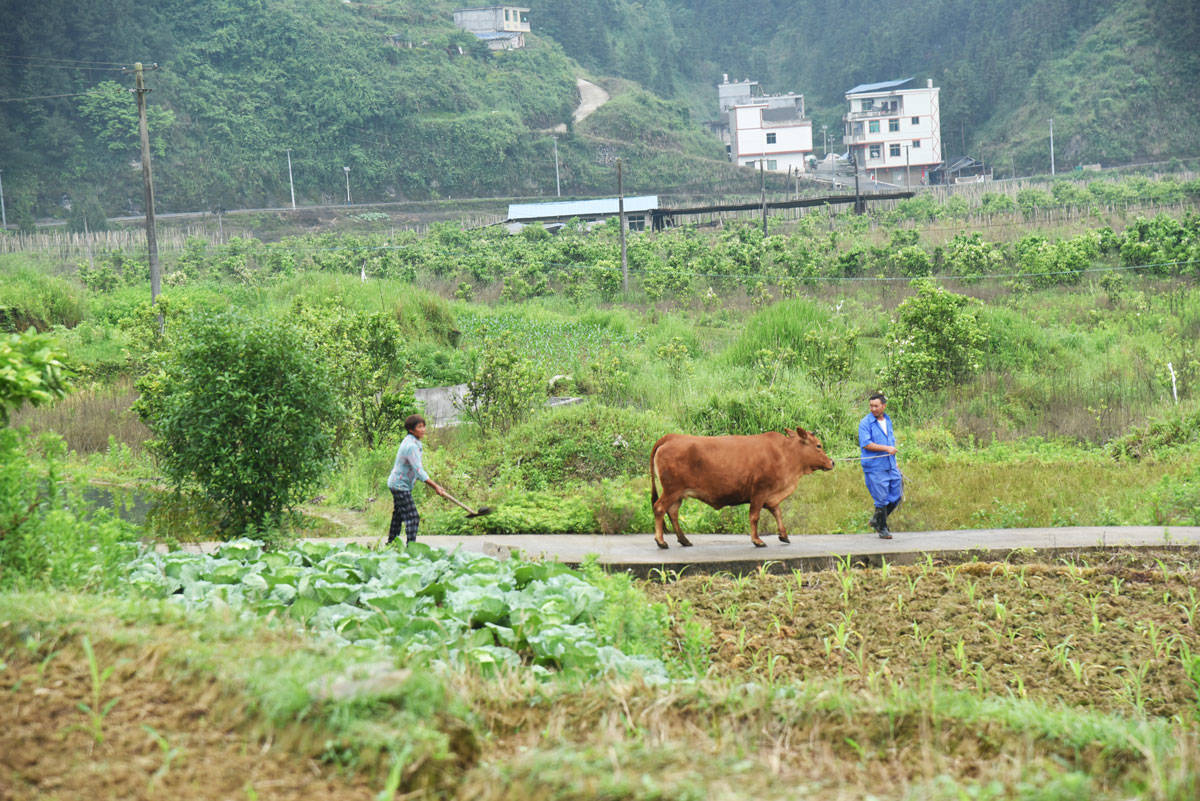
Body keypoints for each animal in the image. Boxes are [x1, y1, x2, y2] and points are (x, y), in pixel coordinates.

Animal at [652, 429, 830, 546]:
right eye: (818, 446)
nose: (832, 462)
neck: (785, 454)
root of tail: (671, 437)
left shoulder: (771, 497)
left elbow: (778, 513)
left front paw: (784, 535)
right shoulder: (759, 491)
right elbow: (755, 516)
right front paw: (757, 540)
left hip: (678, 494)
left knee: (672, 512)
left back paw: (684, 540)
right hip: (671, 490)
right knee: (659, 508)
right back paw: (661, 541)